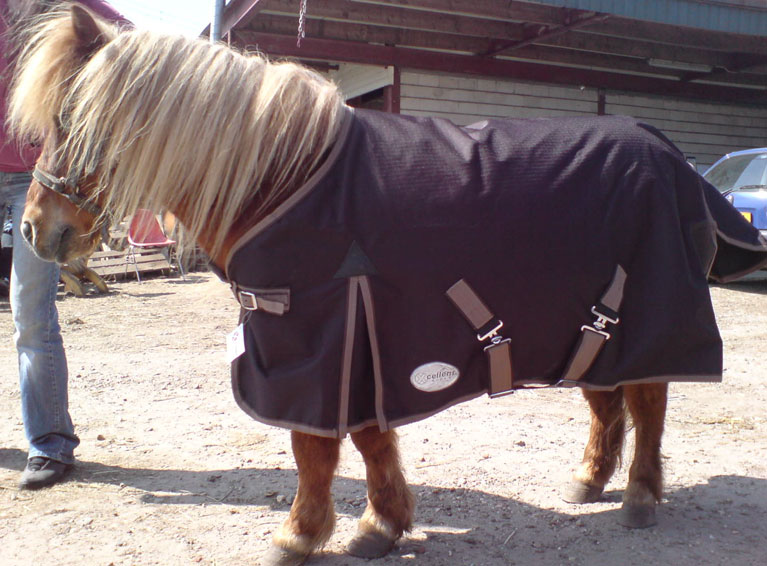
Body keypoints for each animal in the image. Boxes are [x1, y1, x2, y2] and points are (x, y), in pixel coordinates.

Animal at [10, 5, 767, 566]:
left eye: (72, 120)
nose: (34, 230)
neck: (284, 181)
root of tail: (664, 149)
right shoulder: (361, 339)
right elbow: (371, 440)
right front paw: (382, 525)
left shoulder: (318, 342)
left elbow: (314, 447)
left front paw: (300, 534)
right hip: (582, 327)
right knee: (606, 402)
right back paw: (588, 481)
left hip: (640, 320)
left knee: (647, 402)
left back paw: (639, 497)